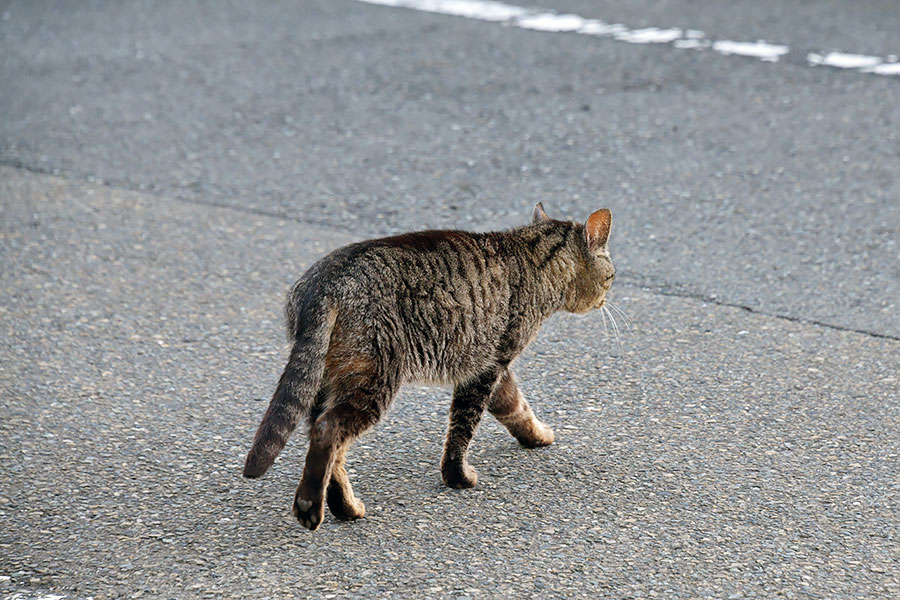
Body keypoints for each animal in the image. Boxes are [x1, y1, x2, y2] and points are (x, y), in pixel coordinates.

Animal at [243, 203, 616, 528]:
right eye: (612, 276)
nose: (606, 299)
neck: (533, 258)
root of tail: (327, 279)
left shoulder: (493, 367)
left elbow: (517, 407)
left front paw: (537, 435)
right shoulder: (487, 367)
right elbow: (463, 430)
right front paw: (457, 477)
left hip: (327, 381)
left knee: (327, 443)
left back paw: (344, 507)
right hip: (374, 379)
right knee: (327, 430)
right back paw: (310, 506)